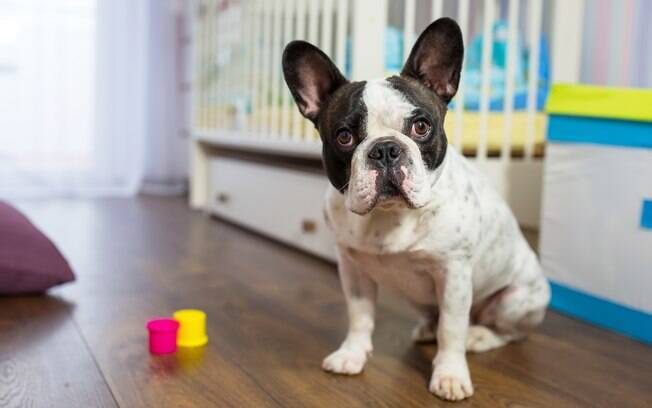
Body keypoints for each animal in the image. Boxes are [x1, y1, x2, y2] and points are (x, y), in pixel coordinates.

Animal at [282, 19, 548, 402]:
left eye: (421, 127)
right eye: (345, 137)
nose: (385, 149)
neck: (390, 216)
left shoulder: (453, 275)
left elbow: (452, 329)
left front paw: (449, 375)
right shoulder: (352, 269)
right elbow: (359, 316)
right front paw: (352, 354)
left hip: (516, 300)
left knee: (509, 331)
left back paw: (480, 335)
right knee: (435, 317)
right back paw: (426, 328)